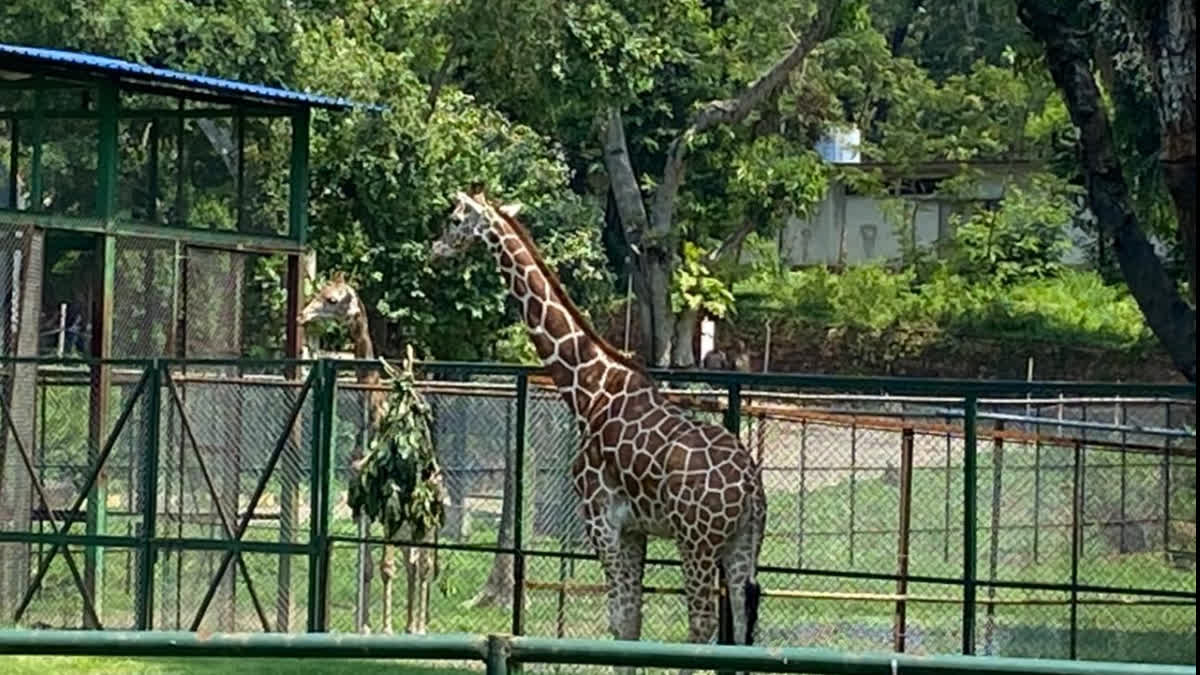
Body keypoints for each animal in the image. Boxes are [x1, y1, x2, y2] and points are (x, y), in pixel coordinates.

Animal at [300, 271, 441, 629]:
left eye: (333, 299)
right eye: (318, 291)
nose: (302, 316)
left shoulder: (391, 496)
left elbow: (386, 567)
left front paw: (386, 628)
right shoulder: (364, 502)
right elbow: (365, 569)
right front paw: (362, 625)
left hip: (423, 513)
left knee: (423, 563)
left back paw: (417, 626)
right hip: (406, 520)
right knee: (413, 561)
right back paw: (409, 624)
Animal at [432, 190, 768, 667]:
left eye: (456, 219)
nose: (435, 250)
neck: (589, 391)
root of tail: (752, 488)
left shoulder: (602, 519)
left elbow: (620, 622)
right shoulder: (635, 529)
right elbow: (632, 625)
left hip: (697, 541)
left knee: (702, 628)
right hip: (743, 542)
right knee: (741, 625)